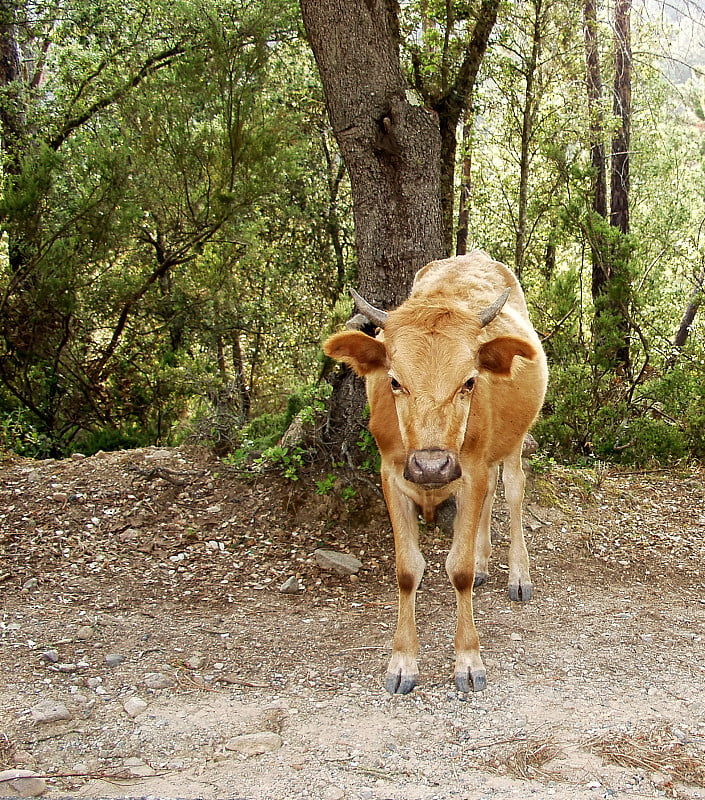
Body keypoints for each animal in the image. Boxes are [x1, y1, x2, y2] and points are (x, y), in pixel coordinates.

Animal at [324, 252, 552, 692]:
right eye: (395, 381)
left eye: (469, 381)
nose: (431, 465)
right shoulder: (392, 476)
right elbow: (407, 571)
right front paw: (402, 661)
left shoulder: (470, 471)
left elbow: (457, 570)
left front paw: (468, 659)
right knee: (489, 498)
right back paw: (484, 564)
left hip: (514, 440)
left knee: (513, 489)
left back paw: (518, 574)